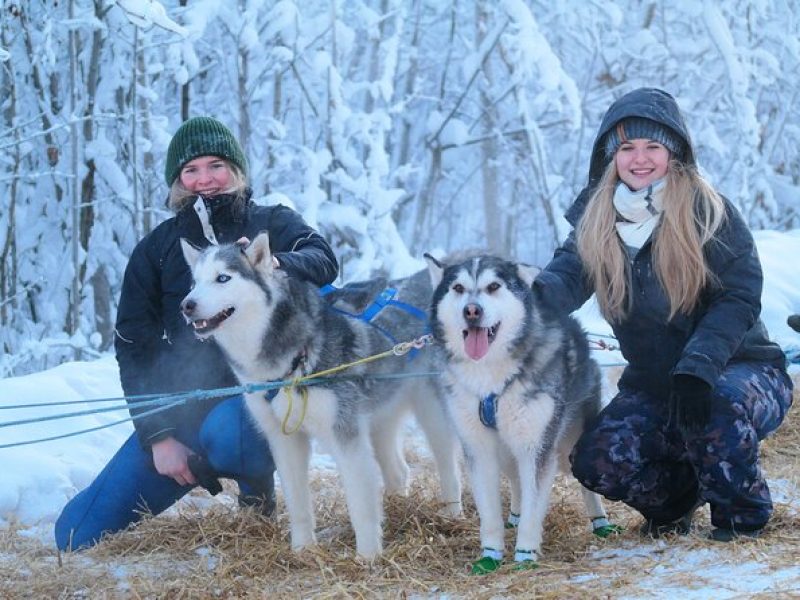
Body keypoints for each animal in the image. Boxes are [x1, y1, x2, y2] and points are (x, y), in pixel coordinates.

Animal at [428, 252, 616, 572]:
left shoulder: (537, 447)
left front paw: (525, 554)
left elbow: (534, 505)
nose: (472, 311)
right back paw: (513, 516)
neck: (490, 378)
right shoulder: (478, 448)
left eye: (493, 286)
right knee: (516, 479)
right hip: (507, 449)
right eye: (458, 288)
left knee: (584, 485)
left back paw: (599, 522)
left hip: (569, 447)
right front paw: (490, 554)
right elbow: (489, 513)